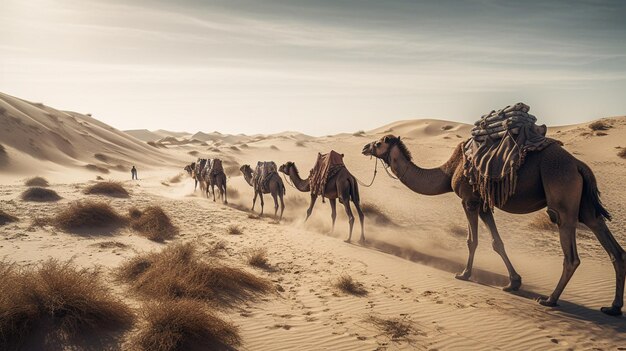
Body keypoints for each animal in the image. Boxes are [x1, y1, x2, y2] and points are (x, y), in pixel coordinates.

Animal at [360, 135, 624, 316]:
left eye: (379, 142)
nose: (364, 147)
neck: (449, 170)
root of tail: (579, 165)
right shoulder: (485, 204)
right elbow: (497, 242)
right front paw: (513, 282)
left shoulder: (469, 200)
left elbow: (472, 240)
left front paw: (464, 274)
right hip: (586, 208)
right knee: (612, 246)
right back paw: (612, 307)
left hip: (563, 200)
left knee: (571, 255)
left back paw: (550, 300)